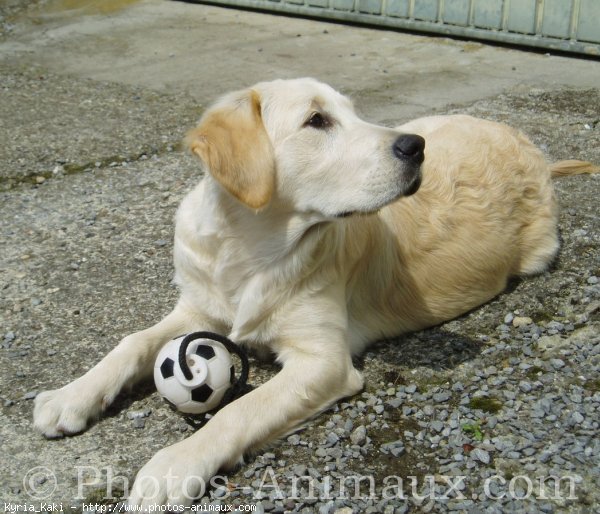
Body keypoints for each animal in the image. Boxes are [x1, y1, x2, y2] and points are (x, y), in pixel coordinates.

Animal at [31, 77, 596, 504]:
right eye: (317, 121)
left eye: (353, 113)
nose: (415, 148)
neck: (251, 247)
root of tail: (536, 152)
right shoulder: (198, 308)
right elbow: (131, 342)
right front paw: (71, 395)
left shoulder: (323, 362)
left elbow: (237, 410)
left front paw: (174, 465)